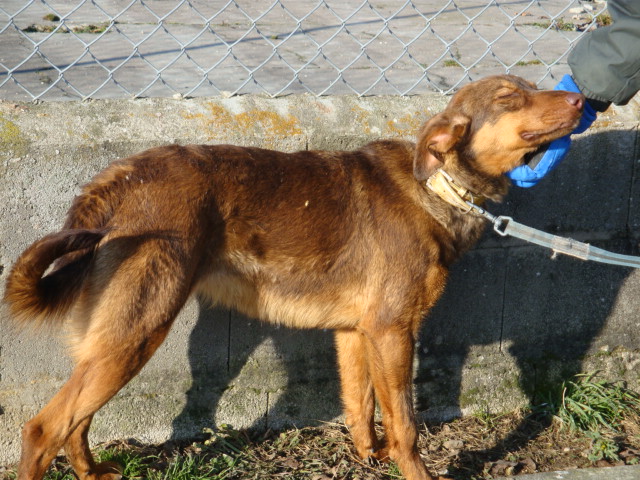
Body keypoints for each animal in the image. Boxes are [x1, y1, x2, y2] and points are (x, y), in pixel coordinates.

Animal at [5, 75, 584, 480]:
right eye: (510, 97)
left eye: (531, 87)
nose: (583, 102)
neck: (439, 184)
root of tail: (118, 176)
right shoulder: (394, 332)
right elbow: (405, 424)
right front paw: (412, 470)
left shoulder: (356, 334)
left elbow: (361, 408)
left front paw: (367, 457)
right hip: (140, 329)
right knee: (44, 427)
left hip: (113, 338)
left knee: (76, 420)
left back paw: (90, 470)